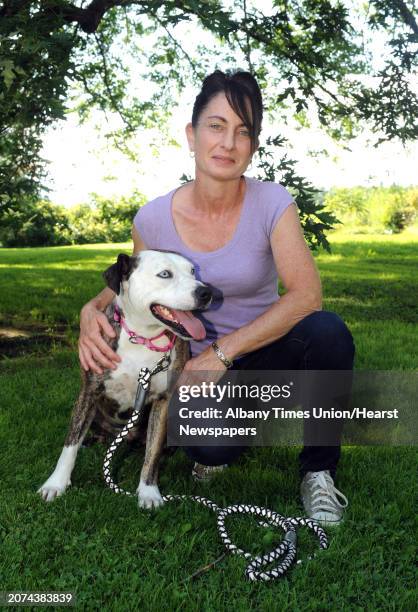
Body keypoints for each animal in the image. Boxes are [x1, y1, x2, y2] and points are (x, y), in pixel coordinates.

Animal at [36, 251, 212, 510]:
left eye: (192, 271)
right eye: (165, 274)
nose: (206, 292)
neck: (142, 337)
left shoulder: (163, 400)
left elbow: (152, 453)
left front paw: (148, 492)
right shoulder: (89, 391)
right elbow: (70, 444)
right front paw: (55, 483)